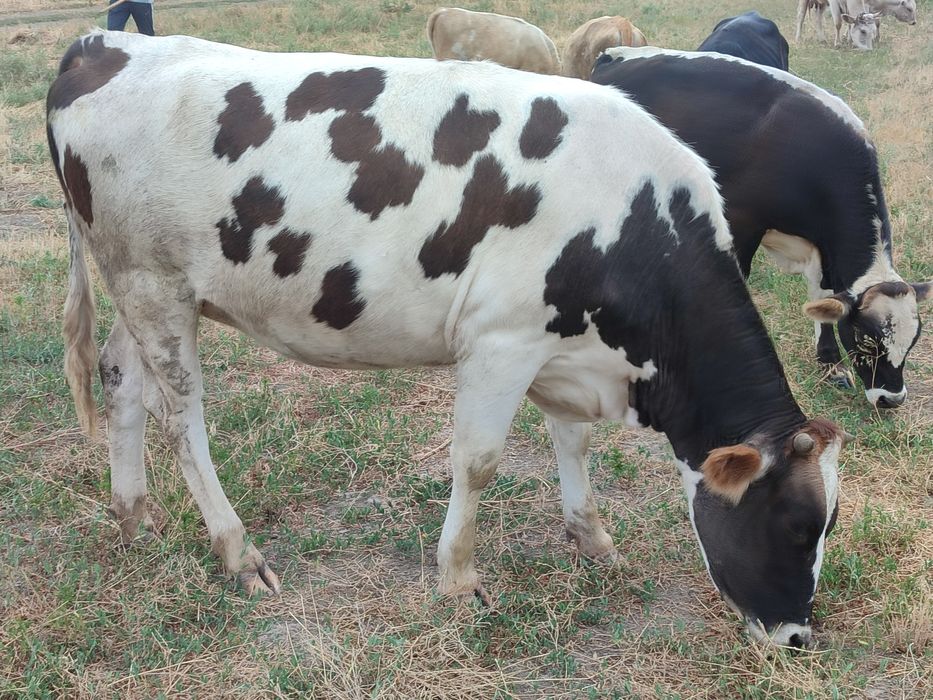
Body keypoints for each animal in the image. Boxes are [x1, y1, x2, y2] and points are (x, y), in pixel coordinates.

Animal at [49, 31, 847, 647]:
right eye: (794, 526)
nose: (798, 638)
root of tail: (104, 44)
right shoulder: (501, 342)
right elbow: (479, 462)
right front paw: (459, 578)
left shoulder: (560, 344)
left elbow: (573, 442)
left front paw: (590, 538)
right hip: (151, 284)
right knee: (180, 417)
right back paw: (236, 551)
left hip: (149, 288)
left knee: (121, 376)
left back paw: (134, 514)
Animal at [592, 47, 930, 408]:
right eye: (866, 340)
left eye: (913, 342)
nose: (892, 399)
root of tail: (615, 54)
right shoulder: (742, 221)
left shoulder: (821, 246)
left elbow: (822, 296)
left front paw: (831, 363)